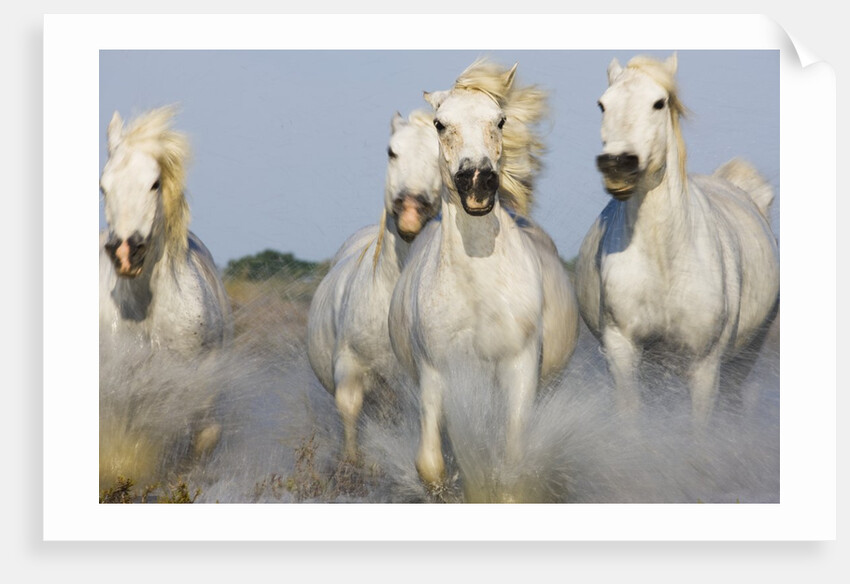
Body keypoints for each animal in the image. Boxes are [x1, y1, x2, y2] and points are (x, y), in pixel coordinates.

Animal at [388, 59, 579, 496]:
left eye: (500, 120)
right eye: (440, 123)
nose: (477, 181)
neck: (478, 293)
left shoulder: (519, 367)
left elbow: (512, 462)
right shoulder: (438, 373)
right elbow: (432, 466)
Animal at [574, 54, 779, 427]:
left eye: (659, 103)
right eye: (602, 104)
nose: (617, 165)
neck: (665, 261)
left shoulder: (704, 365)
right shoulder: (623, 349)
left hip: (747, 356)